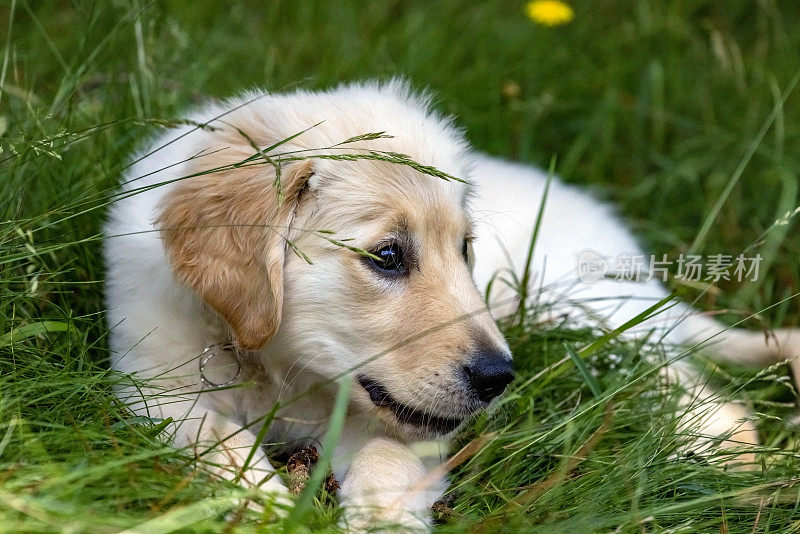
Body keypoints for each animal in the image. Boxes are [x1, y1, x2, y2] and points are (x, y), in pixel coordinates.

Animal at [104, 80, 800, 532]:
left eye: (464, 249)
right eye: (388, 256)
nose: (499, 378)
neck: (281, 370)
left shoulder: (401, 427)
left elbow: (388, 458)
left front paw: (382, 520)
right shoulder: (154, 385)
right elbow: (211, 438)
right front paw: (264, 504)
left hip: (576, 312)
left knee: (700, 391)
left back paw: (735, 466)